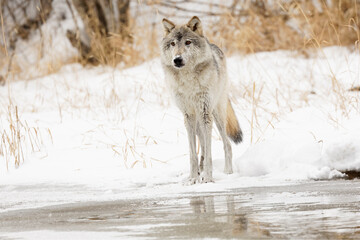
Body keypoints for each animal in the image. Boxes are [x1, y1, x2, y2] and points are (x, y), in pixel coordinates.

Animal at [160, 15, 242, 184]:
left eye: (187, 42)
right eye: (172, 44)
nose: (177, 59)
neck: (188, 81)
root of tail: (213, 45)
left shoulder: (205, 113)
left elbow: (210, 153)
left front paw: (208, 179)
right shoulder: (188, 116)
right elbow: (193, 153)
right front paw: (192, 178)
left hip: (216, 115)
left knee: (227, 144)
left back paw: (227, 172)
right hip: (198, 123)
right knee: (203, 145)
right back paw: (200, 170)